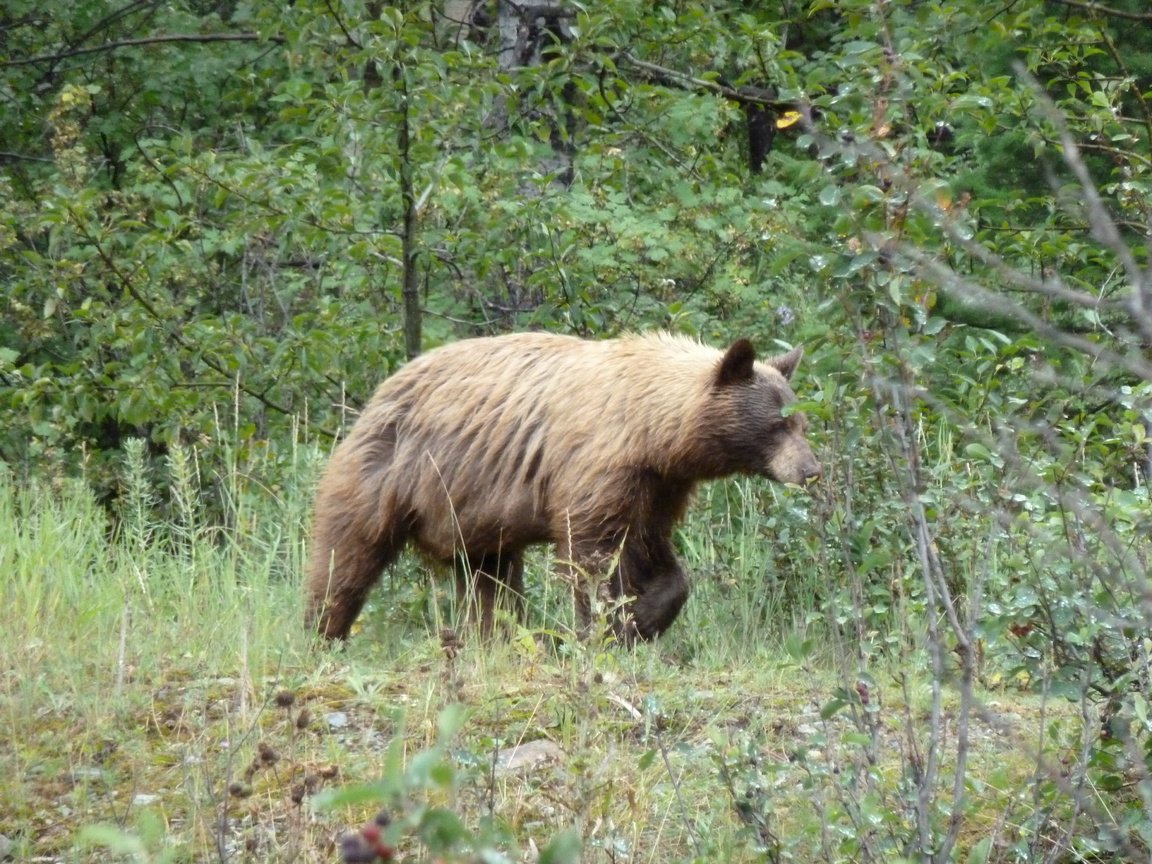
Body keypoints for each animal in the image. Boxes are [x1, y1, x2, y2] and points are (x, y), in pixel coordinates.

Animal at [304, 331, 820, 645]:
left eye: (801, 422)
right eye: (778, 425)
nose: (811, 470)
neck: (652, 430)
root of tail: (382, 388)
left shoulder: (658, 486)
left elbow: (652, 551)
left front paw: (644, 619)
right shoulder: (598, 467)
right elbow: (591, 556)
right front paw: (603, 629)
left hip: (473, 511)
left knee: (488, 578)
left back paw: (496, 636)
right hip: (389, 472)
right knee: (346, 556)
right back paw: (323, 632)